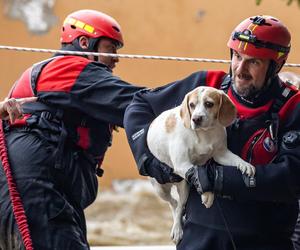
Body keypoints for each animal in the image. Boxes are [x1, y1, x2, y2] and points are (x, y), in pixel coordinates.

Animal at [146, 86, 254, 244]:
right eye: (191, 105)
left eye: (209, 104)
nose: (196, 119)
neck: (205, 134)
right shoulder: (182, 164)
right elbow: (199, 172)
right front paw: (208, 195)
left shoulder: (221, 154)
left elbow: (234, 160)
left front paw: (245, 164)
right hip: (161, 189)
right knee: (175, 205)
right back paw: (177, 229)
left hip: (183, 187)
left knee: (179, 205)